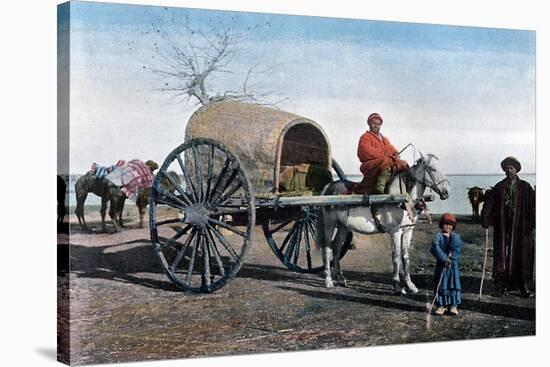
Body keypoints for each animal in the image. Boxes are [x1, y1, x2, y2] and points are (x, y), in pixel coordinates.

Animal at [316, 154, 450, 294]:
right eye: (433, 169)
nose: (446, 192)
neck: (402, 198)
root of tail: (329, 186)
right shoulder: (395, 231)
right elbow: (396, 256)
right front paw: (397, 285)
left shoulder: (408, 231)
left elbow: (406, 257)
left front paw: (410, 285)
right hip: (329, 223)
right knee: (327, 248)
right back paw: (328, 280)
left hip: (343, 226)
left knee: (337, 247)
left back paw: (340, 277)